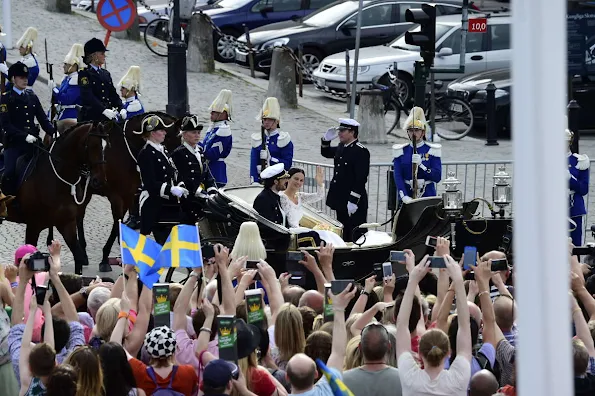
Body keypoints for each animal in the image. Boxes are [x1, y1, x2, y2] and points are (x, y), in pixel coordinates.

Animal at [5, 123, 110, 276]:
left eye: (106, 146)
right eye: (93, 145)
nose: (99, 181)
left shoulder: (66, 223)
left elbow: (78, 256)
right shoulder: (33, 226)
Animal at [47, 111, 182, 272]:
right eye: (175, 138)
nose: (175, 168)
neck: (125, 153)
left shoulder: (128, 196)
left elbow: (118, 224)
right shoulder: (116, 197)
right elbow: (116, 223)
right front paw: (105, 258)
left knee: (79, 216)